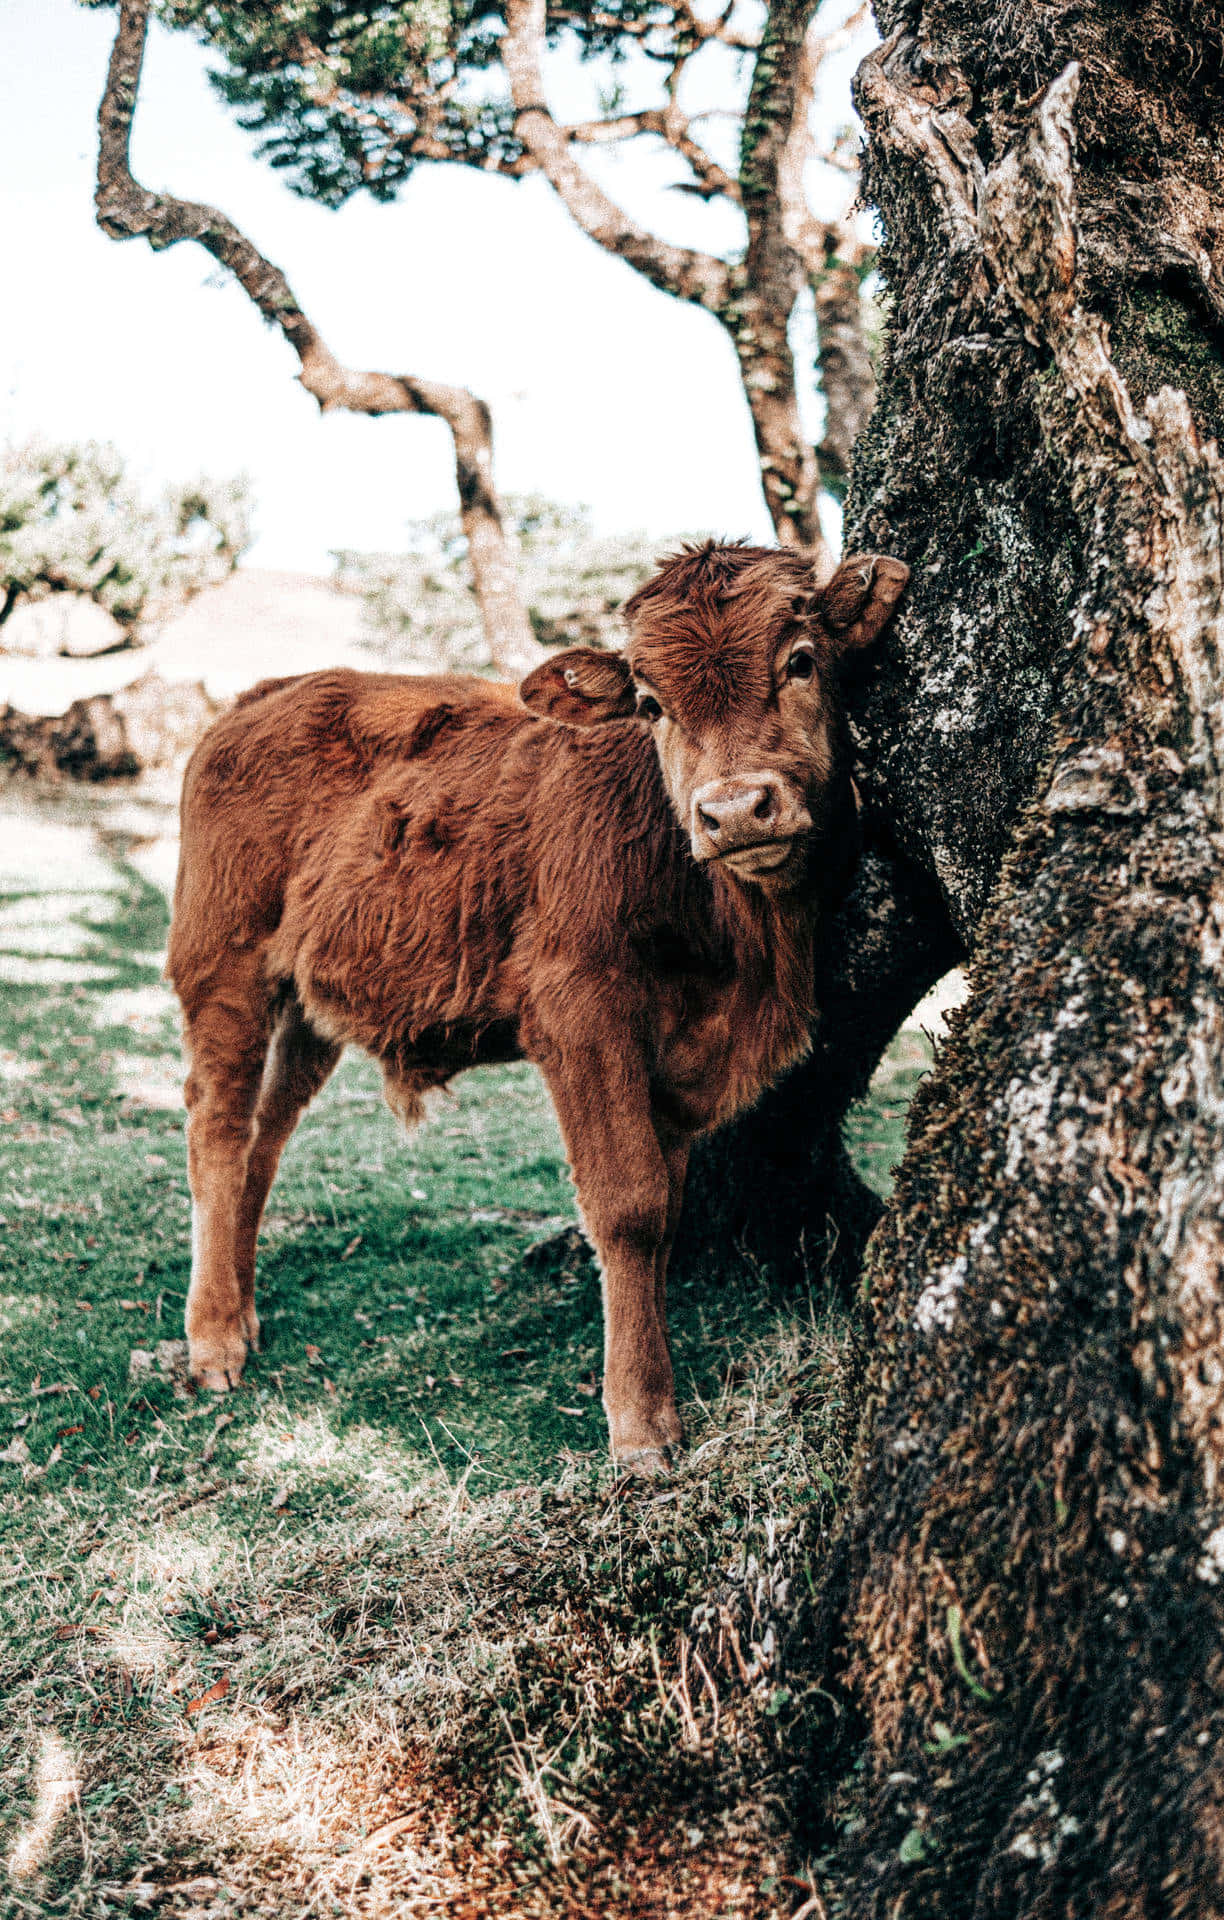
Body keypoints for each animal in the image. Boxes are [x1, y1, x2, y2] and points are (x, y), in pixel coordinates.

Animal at [166, 541, 909, 1472]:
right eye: (651, 704)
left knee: (266, 1136)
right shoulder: (580, 1014)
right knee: (218, 1130)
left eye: (801, 661)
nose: (736, 809)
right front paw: (640, 1421)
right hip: (224, 970)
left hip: (307, 1010)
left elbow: (665, 1203)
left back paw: (244, 1310)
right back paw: (213, 1341)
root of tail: (264, 696)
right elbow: (628, 1205)